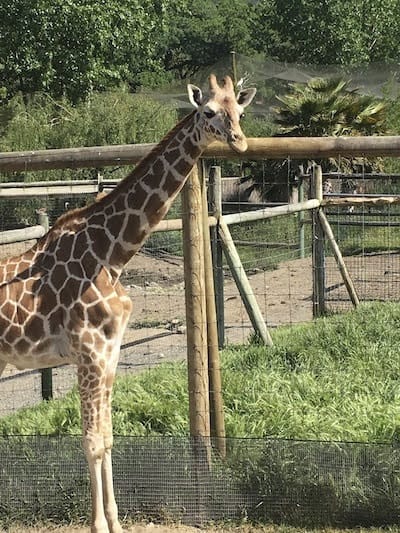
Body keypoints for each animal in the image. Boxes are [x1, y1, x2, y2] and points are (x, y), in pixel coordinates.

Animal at [0, 75, 256, 532]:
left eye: (240, 111)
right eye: (208, 111)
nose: (239, 142)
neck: (112, 255)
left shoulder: (110, 352)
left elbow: (107, 437)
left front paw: (116, 523)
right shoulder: (88, 352)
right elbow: (91, 441)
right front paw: (98, 524)